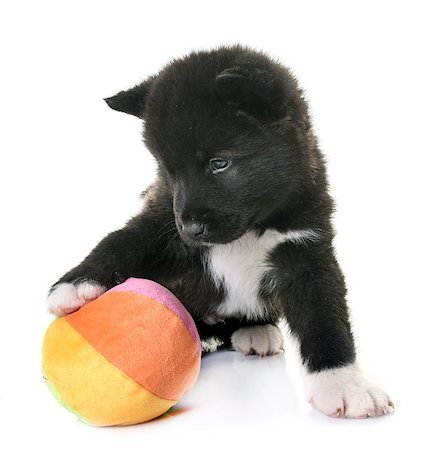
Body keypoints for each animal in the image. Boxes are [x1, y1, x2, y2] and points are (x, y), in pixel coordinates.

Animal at [48, 44, 392, 418]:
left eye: (219, 163)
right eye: (168, 169)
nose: (190, 227)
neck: (248, 233)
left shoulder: (305, 248)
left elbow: (325, 316)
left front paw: (344, 385)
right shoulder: (160, 222)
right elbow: (122, 240)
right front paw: (72, 285)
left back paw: (254, 329)